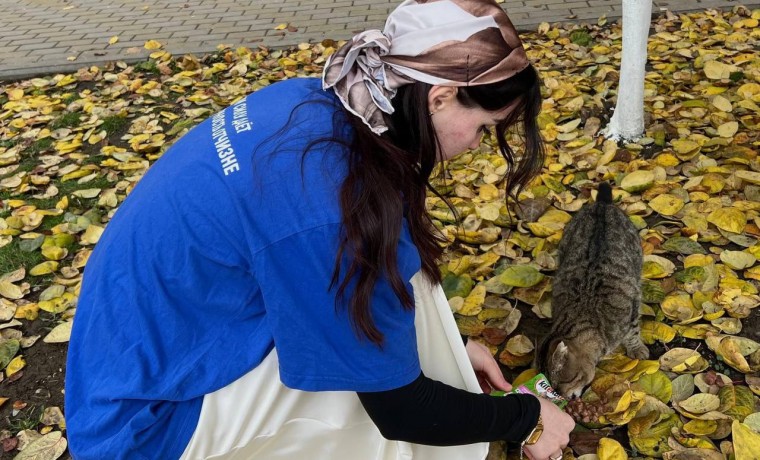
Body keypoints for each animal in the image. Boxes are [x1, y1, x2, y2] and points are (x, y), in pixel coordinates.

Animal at [536, 181, 648, 398]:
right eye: (550, 386)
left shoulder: (632, 304)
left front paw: (636, 347)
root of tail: (601, 204)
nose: (561, 397)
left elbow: (633, 331)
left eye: (562, 382)